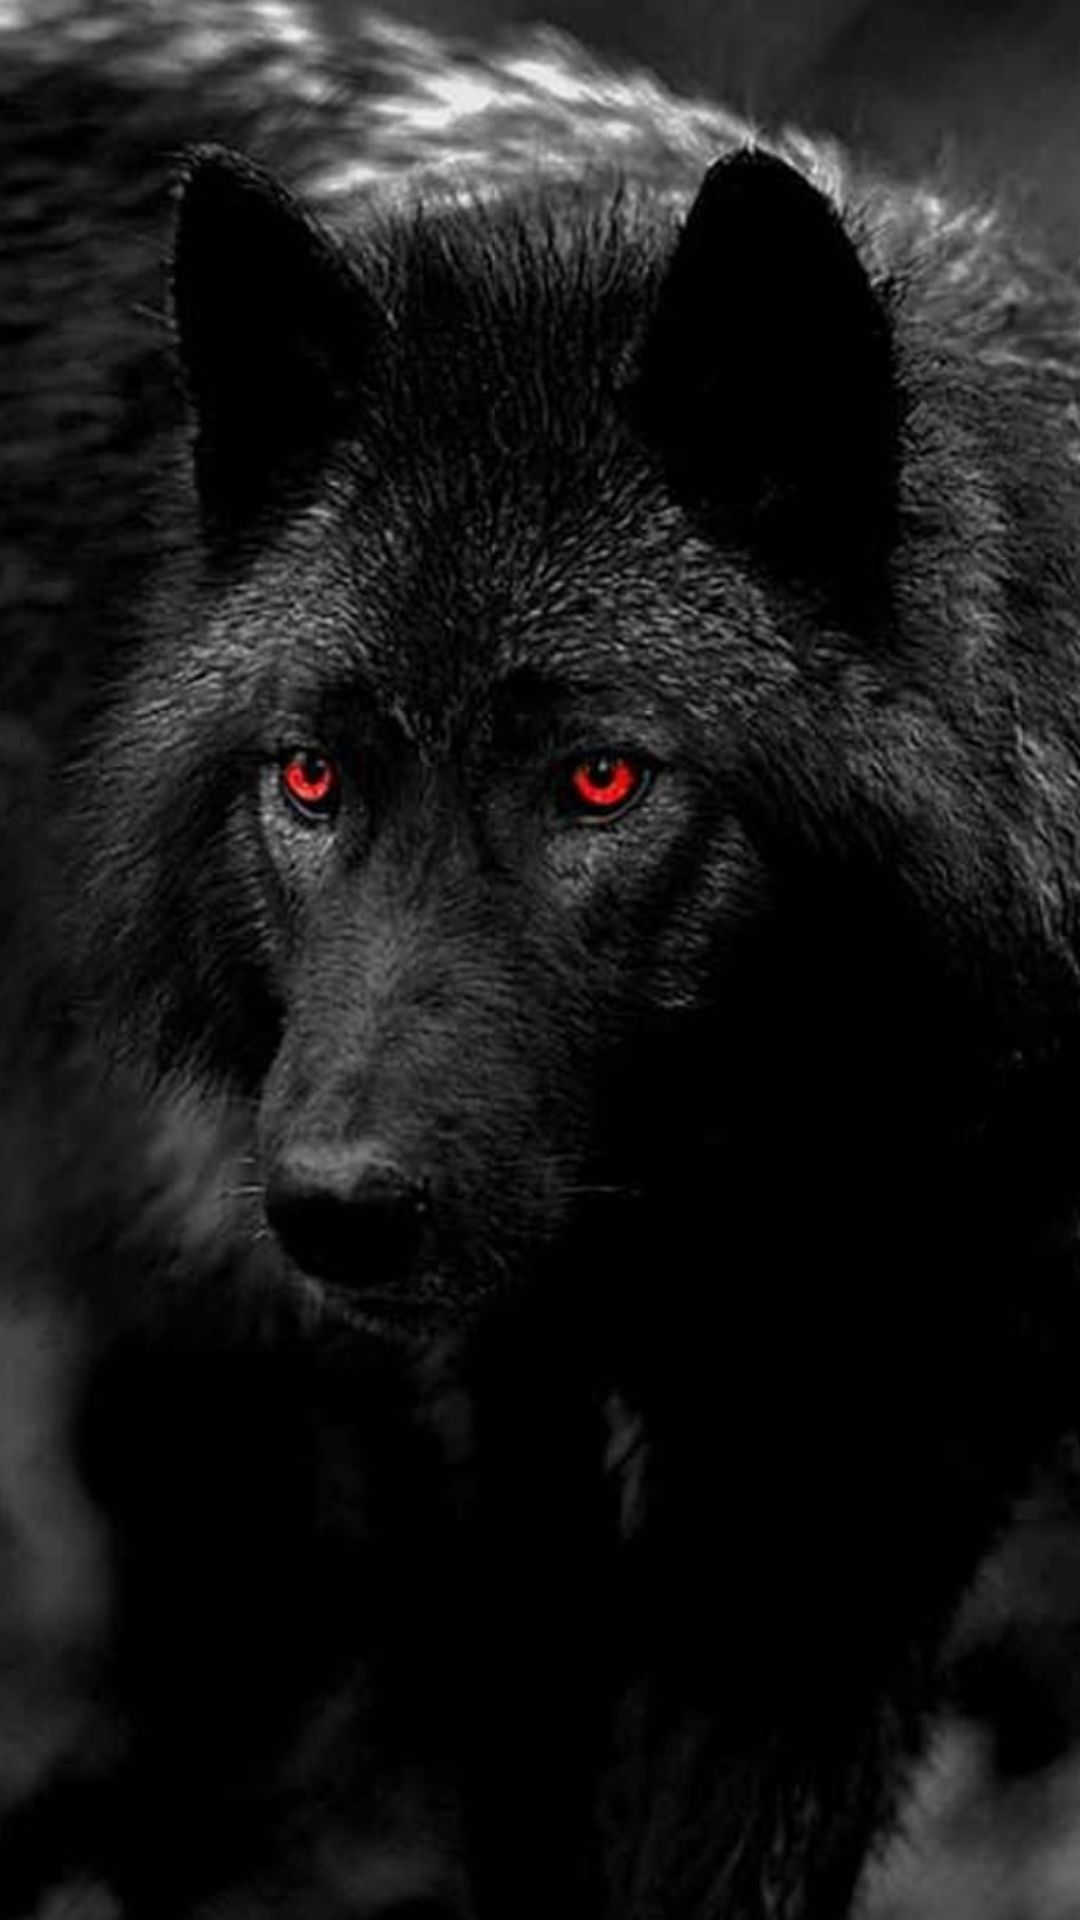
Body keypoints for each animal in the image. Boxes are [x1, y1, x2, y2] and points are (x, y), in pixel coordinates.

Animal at [8, 3, 1080, 1917]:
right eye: (312, 777)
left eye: (599, 777)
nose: (336, 1209)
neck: (739, 1206)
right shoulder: (471, 1470)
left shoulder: (868, 1496)